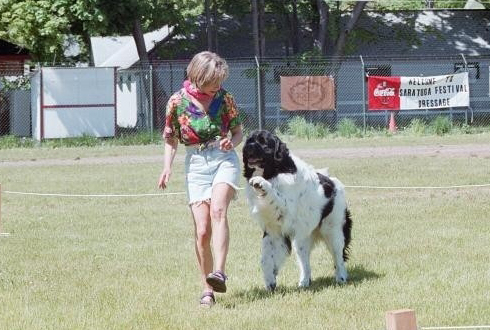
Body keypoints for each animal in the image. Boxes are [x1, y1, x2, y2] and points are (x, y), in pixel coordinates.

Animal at [242, 130, 352, 290]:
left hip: (332, 231)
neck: (274, 172)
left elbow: (274, 194)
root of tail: (335, 183)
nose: (248, 146)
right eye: (249, 140)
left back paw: (337, 278)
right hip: (306, 235)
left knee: (337, 257)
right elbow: (266, 259)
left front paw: (261, 183)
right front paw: (270, 281)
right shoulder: (273, 231)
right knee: (305, 259)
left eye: (263, 142)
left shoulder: (286, 209)